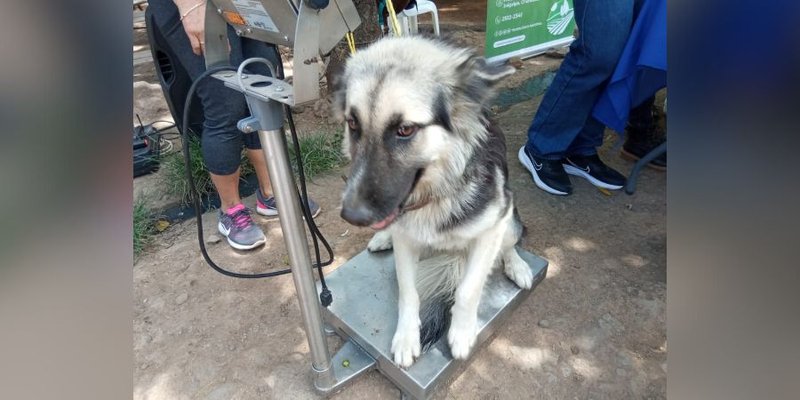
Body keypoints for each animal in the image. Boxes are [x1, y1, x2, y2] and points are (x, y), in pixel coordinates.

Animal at [334, 36, 536, 368]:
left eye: (405, 129)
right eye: (352, 123)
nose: (351, 215)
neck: (435, 195)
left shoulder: (492, 228)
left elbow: (468, 290)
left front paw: (462, 334)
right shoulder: (406, 239)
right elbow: (408, 292)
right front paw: (406, 337)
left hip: (510, 219)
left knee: (510, 244)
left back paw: (517, 265)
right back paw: (383, 237)